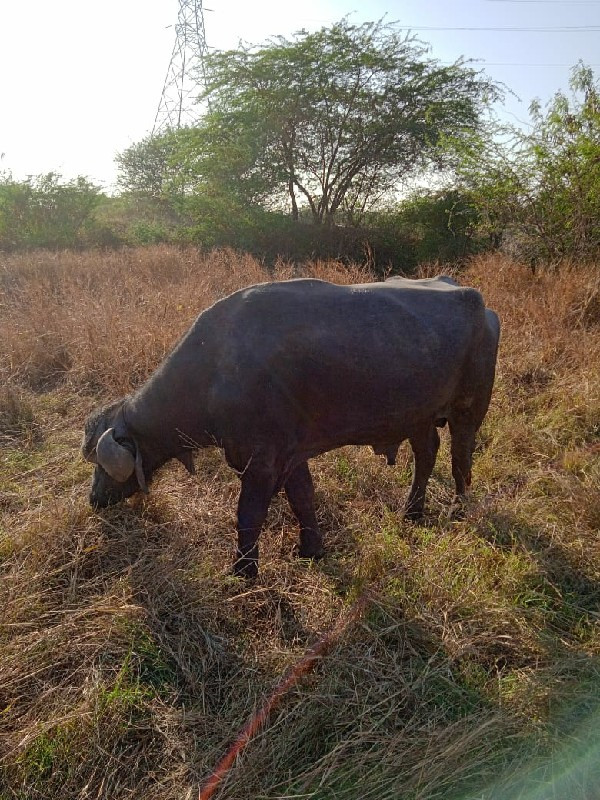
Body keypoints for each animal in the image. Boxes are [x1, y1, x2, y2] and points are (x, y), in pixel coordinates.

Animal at [82, 276, 500, 576]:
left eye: (102, 465)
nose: (94, 499)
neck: (215, 369)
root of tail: (483, 307)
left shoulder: (261, 462)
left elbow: (249, 514)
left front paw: (244, 571)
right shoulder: (291, 455)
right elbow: (303, 498)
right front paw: (312, 549)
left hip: (468, 411)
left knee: (461, 461)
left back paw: (458, 512)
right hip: (418, 416)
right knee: (426, 454)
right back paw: (411, 512)